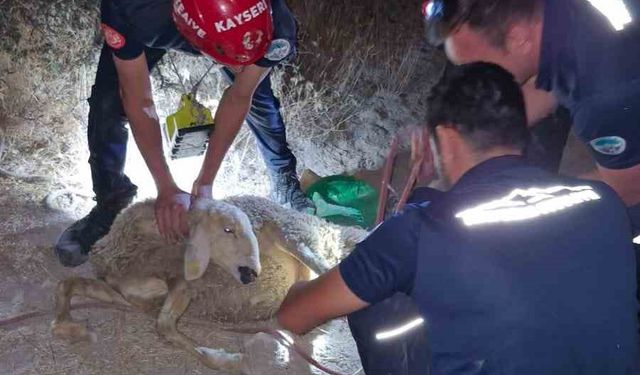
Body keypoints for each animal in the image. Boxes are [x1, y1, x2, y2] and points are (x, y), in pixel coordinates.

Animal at [52, 195, 368, 372]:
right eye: (228, 230)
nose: (253, 274)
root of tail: (330, 232)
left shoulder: (185, 285)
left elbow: (164, 326)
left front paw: (228, 360)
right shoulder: (131, 295)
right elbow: (67, 284)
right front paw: (74, 328)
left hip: (294, 235)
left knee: (330, 269)